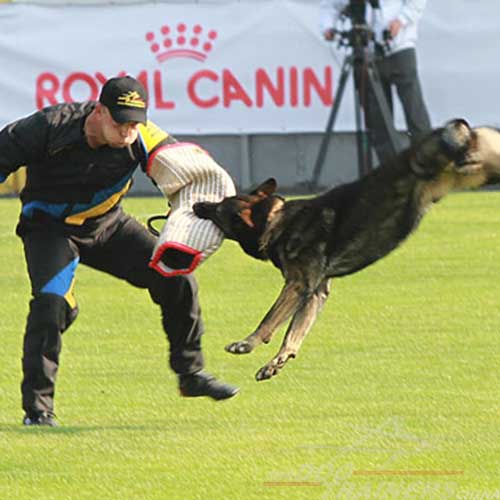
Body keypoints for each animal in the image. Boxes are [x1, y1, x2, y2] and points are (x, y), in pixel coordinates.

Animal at [193, 120, 500, 378]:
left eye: (217, 209)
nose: (197, 204)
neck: (275, 220)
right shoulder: (316, 293)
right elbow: (293, 336)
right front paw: (275, 362)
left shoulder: (298, 286)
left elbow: (271, 319)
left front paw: (248, 343)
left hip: (451, 164)